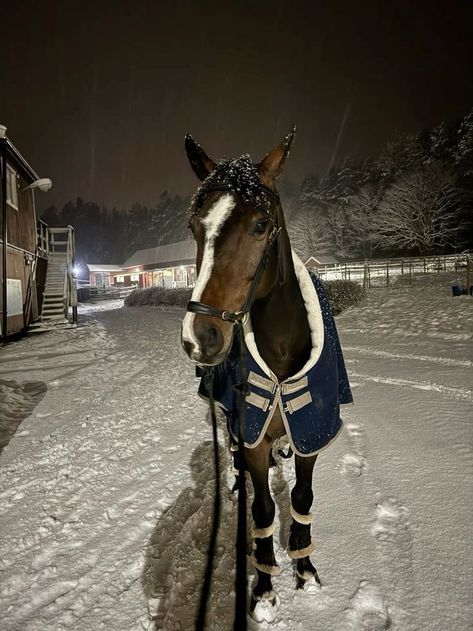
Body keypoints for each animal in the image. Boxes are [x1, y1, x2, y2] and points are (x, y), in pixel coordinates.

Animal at [183, 130, 348, 624]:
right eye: (195, 227)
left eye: (260, 225)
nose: (201, 336)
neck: (280, 353)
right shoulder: (253, 433)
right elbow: (262, 509)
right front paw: (263, 588)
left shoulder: (311, 429)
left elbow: (301, 499)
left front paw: (305, 568)